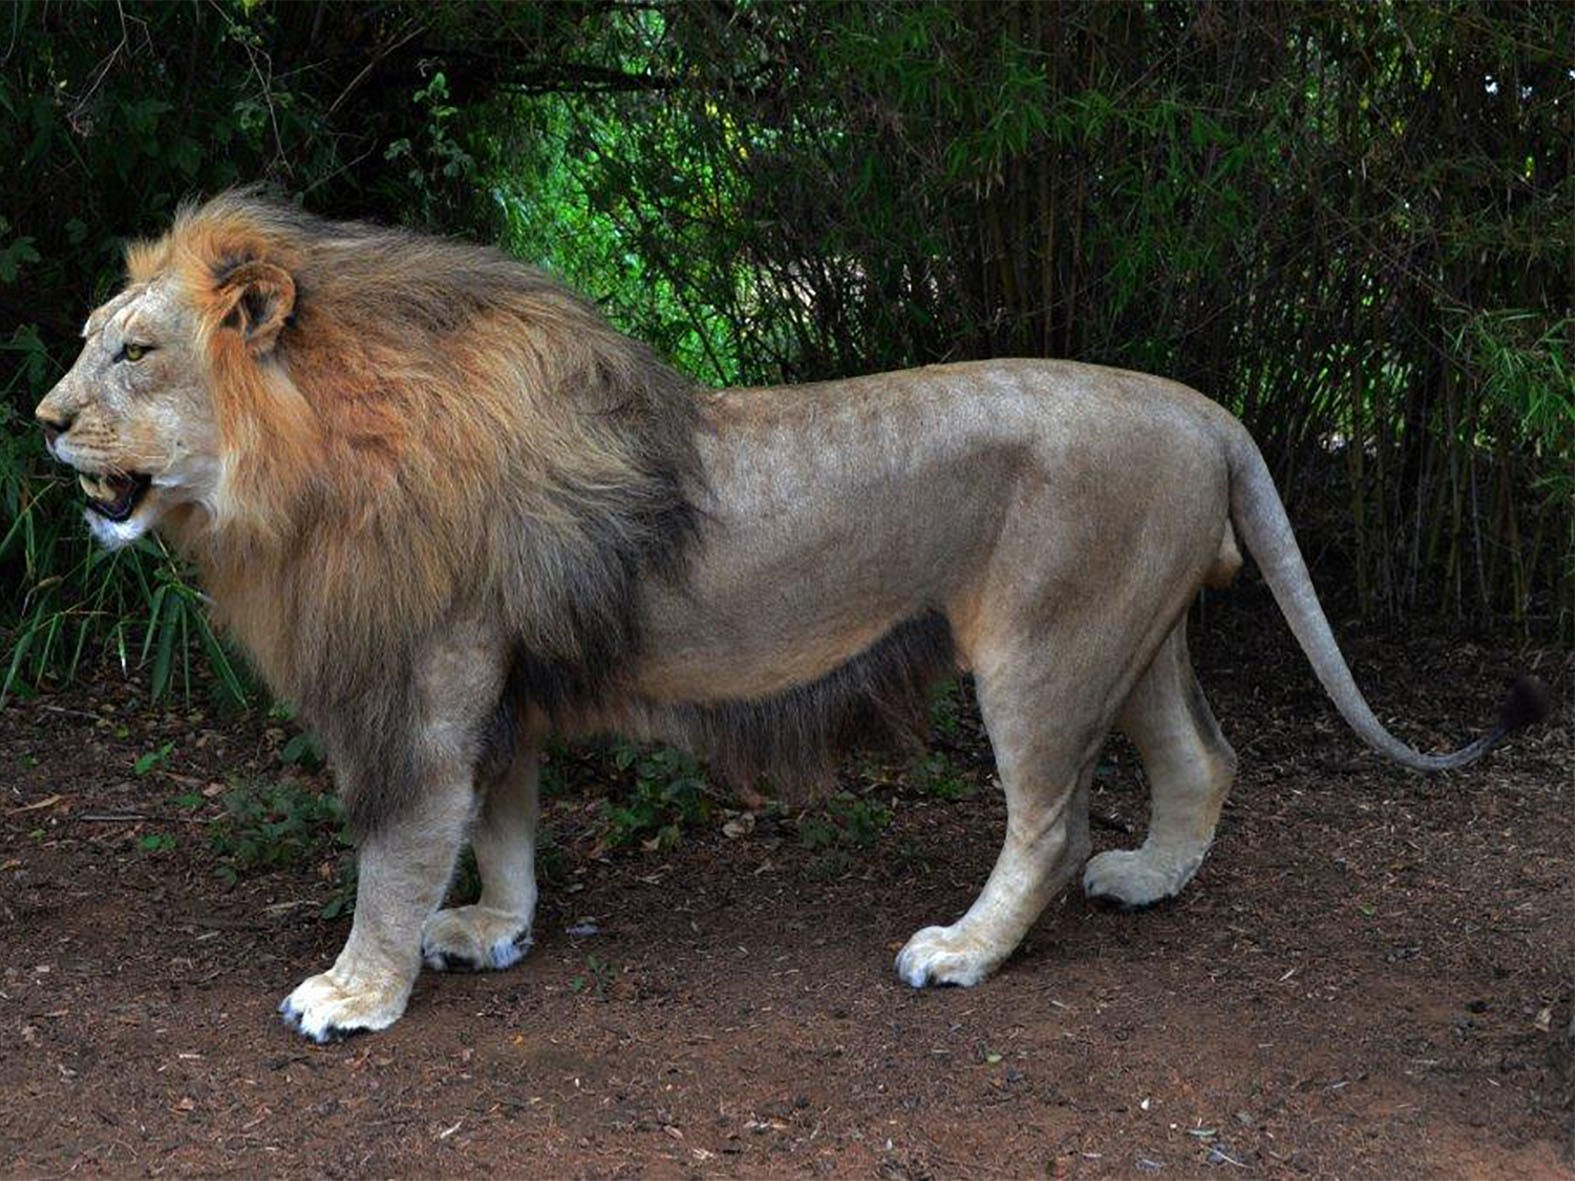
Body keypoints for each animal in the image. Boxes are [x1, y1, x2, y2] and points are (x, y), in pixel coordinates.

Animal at [36, 193, 1546, 1043]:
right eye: (88, 339)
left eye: (135, 349)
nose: (40, 420)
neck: (301, 469)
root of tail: (1204, 408)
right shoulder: (502, 678)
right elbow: (502, 822)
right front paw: (497, 932)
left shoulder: (428, 681)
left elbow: (398, 851)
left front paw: (358, 992)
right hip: (1135, 630)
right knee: (1202, 760)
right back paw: (1152, 878)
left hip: (1043, 646)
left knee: (1051, 826)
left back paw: (962, 952)